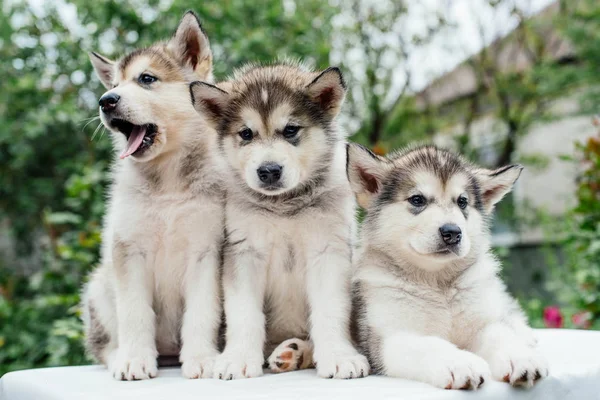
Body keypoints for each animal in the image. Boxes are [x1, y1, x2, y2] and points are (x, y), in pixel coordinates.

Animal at [192, 61, 370, 378]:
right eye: (246, 134)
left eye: (290, 130)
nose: (269, 171)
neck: (284, 206)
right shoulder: (244, 251)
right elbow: (244, 313)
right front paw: (238, 358)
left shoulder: (328, 251)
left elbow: (330, 310)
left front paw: (339, 356)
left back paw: (295, 352)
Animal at [346, 145, 548, 390]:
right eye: (417, 199)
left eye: (462, 202)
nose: (452, 232)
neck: (436, 283)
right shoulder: (390, 336)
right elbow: (430, 345)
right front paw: (460, 363)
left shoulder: (481, 324)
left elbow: (500, 335)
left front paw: (519, 357)